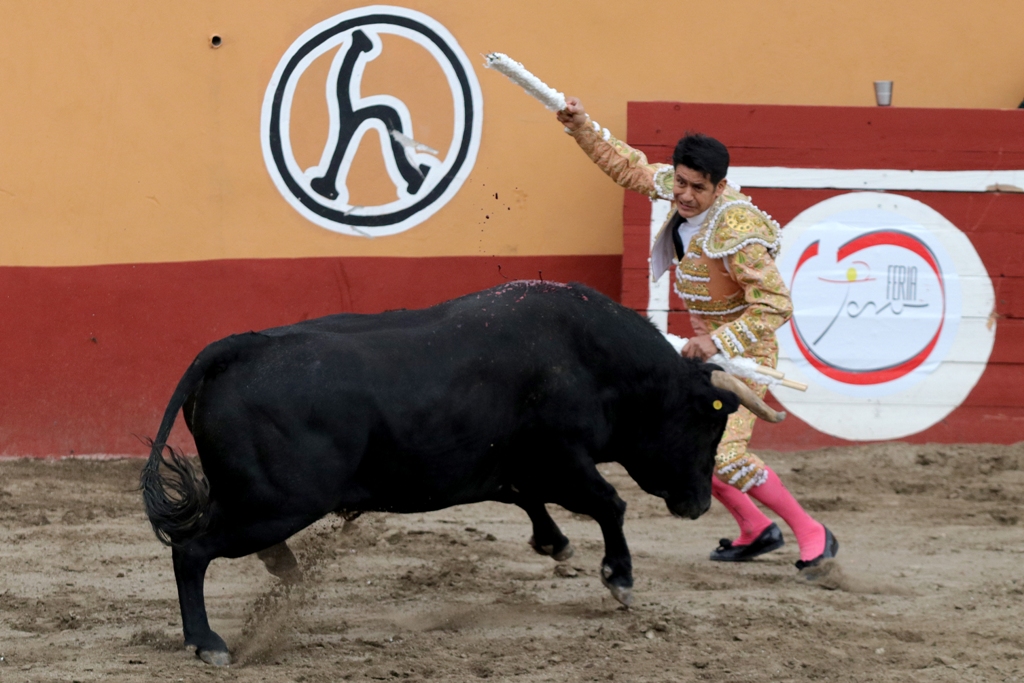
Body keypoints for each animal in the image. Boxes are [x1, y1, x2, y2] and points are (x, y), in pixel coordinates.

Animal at [144, 280, 765, 663]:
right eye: (710, 421)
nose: (698, 503)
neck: (595, 359)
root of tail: (238, 348)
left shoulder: (509, 467)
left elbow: (529, 500)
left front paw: (557, 546)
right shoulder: (562, 457)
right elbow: (610, 503)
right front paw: (620, 579)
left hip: (256, 500)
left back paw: (284, 572)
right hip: (277, 503)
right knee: (193, 551)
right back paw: (208, 642)